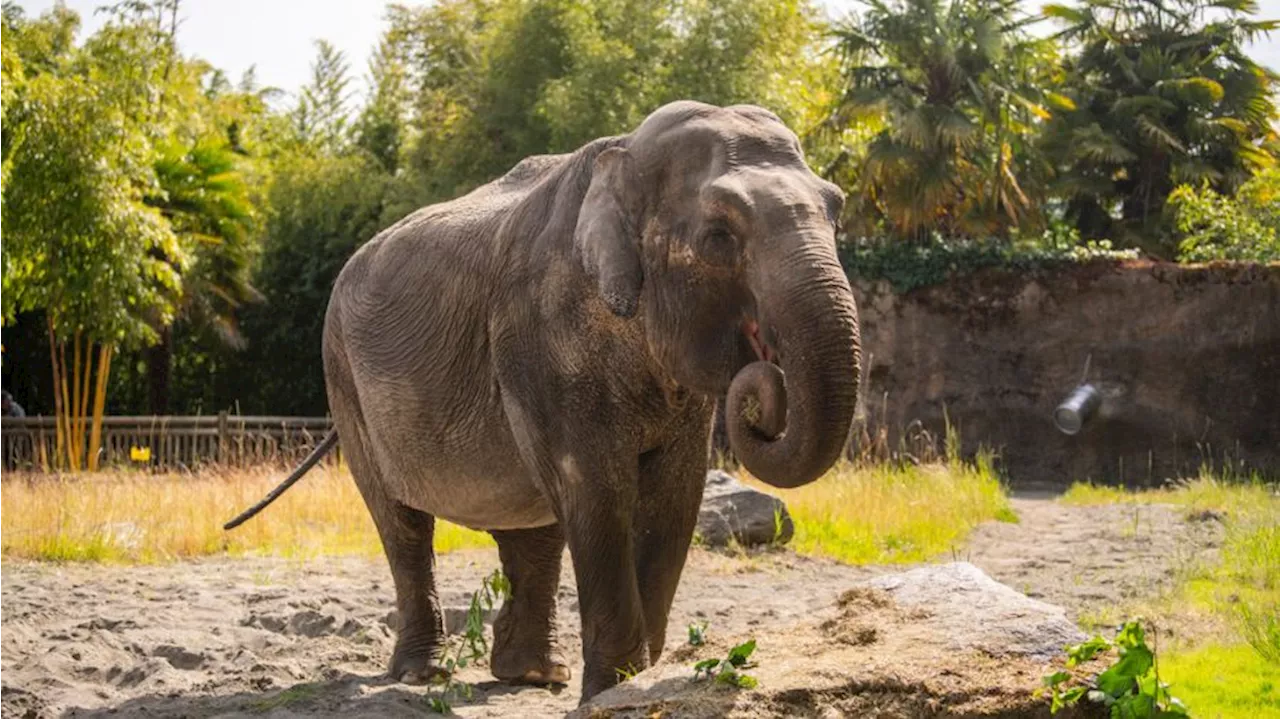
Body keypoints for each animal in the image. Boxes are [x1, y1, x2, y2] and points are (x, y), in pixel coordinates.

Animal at [225, 99, 865, 701]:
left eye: (836, 212)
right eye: (719, 237)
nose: (764, 381)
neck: (626, 152)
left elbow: (674, 499)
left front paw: (637, 683)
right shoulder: (538, 338)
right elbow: (598, 490)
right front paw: (614, 688)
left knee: (532, 525)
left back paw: (533, 675)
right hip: (344, 379)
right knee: (403, 524)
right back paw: (423, 674)